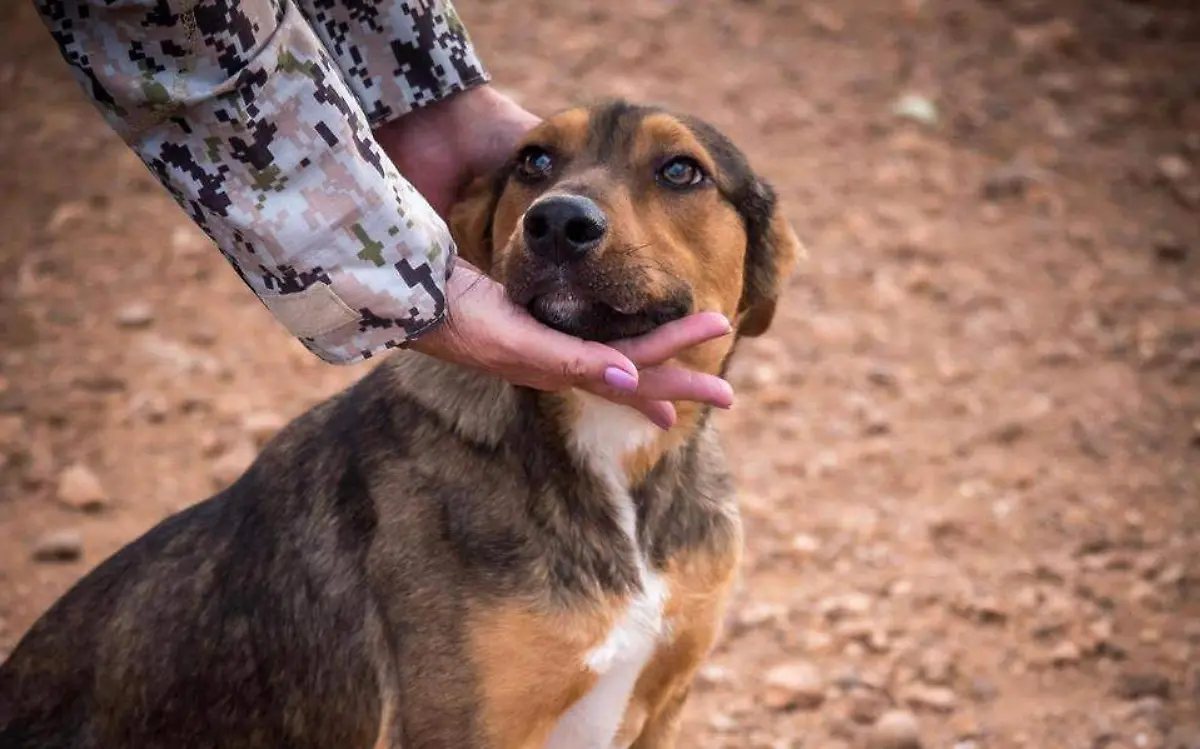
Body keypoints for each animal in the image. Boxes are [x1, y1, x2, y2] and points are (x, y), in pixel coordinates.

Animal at [2, 99, 806, 749]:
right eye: (535, 160)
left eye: (681, 171)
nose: (557, 221)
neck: (606, 443)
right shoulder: (459, 727)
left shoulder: (665, 702)